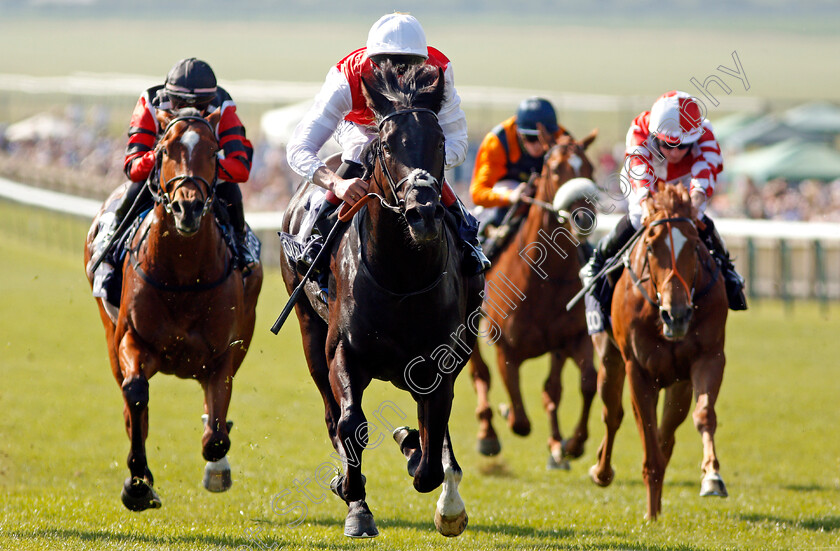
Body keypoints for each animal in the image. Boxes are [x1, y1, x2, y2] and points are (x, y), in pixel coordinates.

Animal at [84, 108, 262, 512]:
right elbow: (136, 395)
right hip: (109, 333)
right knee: (132, 405)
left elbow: (216, 436)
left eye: (213, 152)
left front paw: (217, 467)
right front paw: (137, 484)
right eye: (165, 150)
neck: (183, 276)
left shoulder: (222, 356)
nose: (188, 207)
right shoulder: (132, 340)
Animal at [278, 61, 482, 540]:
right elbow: (351, 423)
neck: (401, 277)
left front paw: (421, 460)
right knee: (333, 414)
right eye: (388, 144)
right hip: (309, 331)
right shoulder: (343, 351)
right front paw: (353, 499)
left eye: (439, 141)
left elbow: (430, 447)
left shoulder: (440, 359)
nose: (423, 211)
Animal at [470, 130, 600, 470]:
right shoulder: (506, 348)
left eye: (591, 168)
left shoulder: (572, 338)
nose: (584, 218)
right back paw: (487, 432)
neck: (543, 279)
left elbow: (583, 384)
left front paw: (570, 444)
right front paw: (504, 414)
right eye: (554, 169)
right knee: (480, 374)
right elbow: (519, 420)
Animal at [588, 183, 732, 520]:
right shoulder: (638, 370)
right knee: (612, 414)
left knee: (667, 432)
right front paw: (651, 516)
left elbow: (702, 416)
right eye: (651, 247)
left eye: (694, 245)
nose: (676, 315)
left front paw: (712, 476)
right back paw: (602, 471)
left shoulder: (707, 359)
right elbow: (647, 436)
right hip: (609, 360)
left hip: (678, 382)